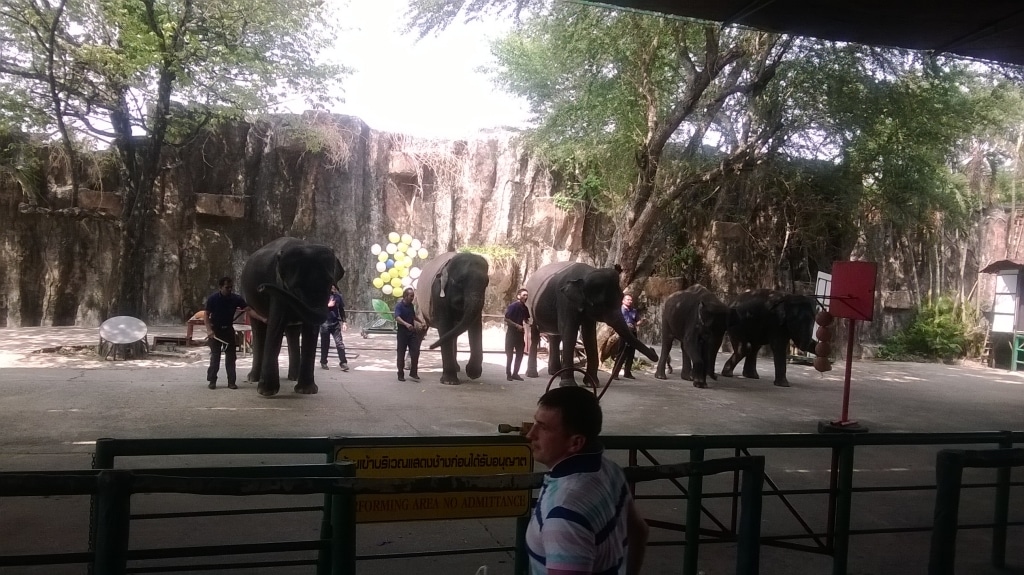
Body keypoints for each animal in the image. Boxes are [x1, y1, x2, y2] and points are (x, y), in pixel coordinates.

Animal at [239, 236, 344, 392]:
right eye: (295, 287)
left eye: (329, 282)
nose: (261, 287)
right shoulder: (277, 287)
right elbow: (276, 325)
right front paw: (266, 392)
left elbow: (310, 331)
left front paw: (306, 391)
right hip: (250, 302)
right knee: (258, 328)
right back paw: (253, 378)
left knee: (292, 332)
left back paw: (293, 377)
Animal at [419, 251, 491, 382]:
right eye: (460, 281)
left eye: (486, 282)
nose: (430, 346)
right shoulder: (438, 295)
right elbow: (445, 325)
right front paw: (449, 381)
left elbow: (476, 326)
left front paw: (473, 373)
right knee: (420, 327)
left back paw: (457, 368)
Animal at [524, 261, 659, 386]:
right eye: (600, 304)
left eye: (621, 298)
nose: (653, 350)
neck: (586, 274)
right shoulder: (565, 301)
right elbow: (569, 332)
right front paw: (568, 384)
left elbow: (589, 336)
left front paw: (592, 383)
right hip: (529, 305)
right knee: (534, 333)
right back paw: (533, 374)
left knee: (555, 337)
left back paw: (554, 373)